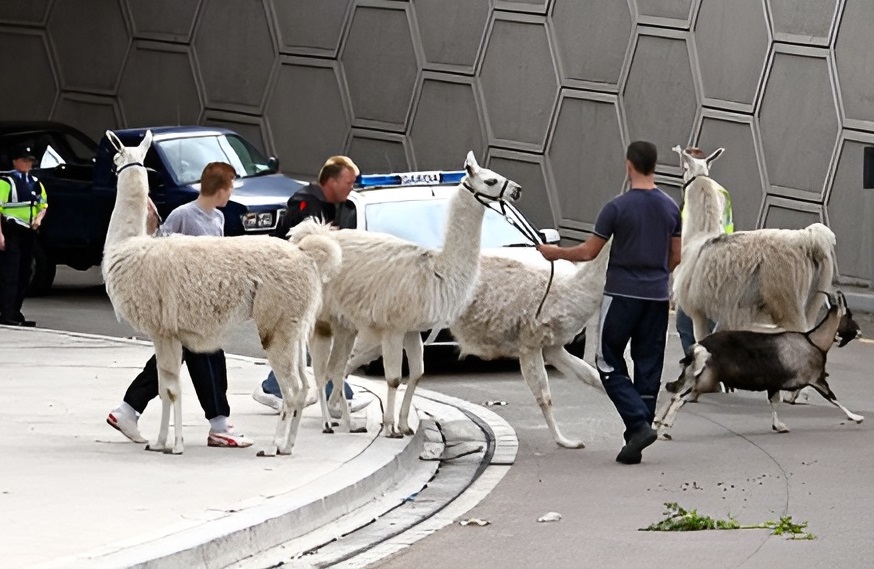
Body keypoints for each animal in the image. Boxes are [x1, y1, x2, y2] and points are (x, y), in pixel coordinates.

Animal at [652, 290, 860, 438]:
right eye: (848, 316)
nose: (858, 332)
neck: (814, 342)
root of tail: (700, 348)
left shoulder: (774, 384)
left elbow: (774, 402)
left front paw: (779, 426)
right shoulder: (815, 378)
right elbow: (832, 397)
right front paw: (856, 417)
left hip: (692, 375)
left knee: (675, 395)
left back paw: (657, 424)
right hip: (705, 380)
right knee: (680, 399)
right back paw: (665, 430)